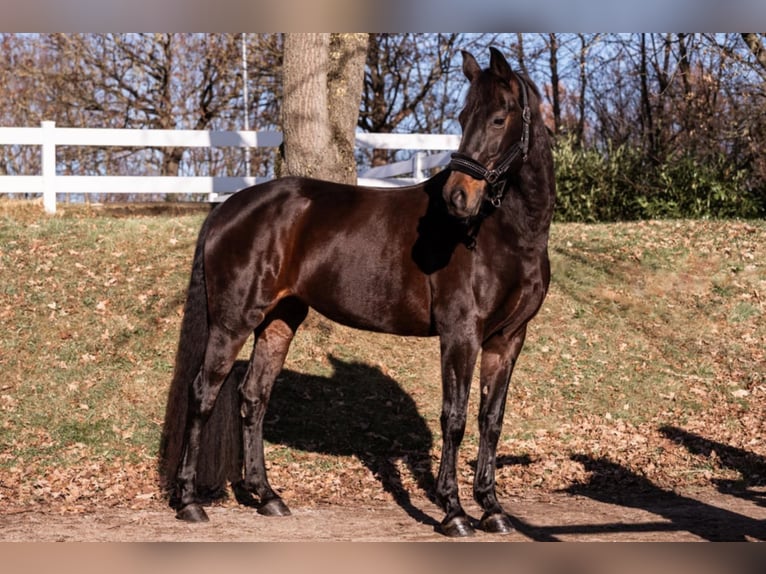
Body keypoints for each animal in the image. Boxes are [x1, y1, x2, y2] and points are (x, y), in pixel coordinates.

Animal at [159, 47, 555, 537]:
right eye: (464, 117)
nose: (457, 198)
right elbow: (455, 418)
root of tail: (227, 209)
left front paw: (493, 509)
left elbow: (491, 420)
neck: (506, 235)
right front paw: (454, 512)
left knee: (253, 398)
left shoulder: (508, 339)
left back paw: (268, 497)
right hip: (232, 322)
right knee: (203, 394)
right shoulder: (460, 334)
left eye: (499, 119)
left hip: (279, 321)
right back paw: (189, 501)